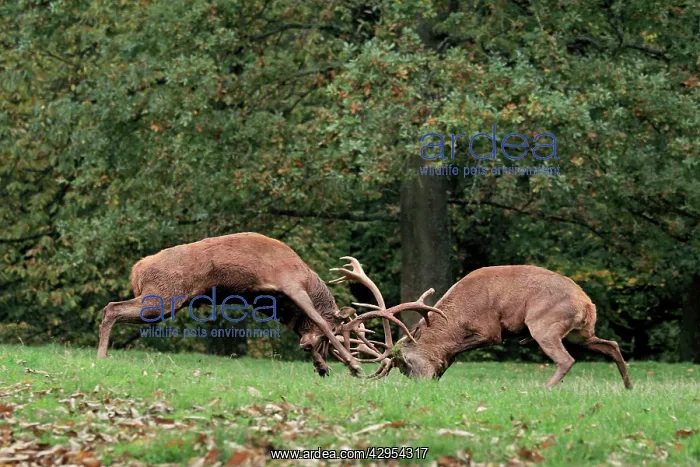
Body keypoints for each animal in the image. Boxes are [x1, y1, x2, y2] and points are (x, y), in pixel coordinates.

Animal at [96, 232, 442, 378]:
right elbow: (318, 318)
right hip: (162, 298)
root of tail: (137, 269)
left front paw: (323, 366)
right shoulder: (289, 283)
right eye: (344, 332)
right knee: (111, 307)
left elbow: (305, 327)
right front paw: (353, 364)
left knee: (111, 307)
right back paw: (100, 356)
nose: (312, 349)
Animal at [329, 261, 632, 389]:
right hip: (582, 333)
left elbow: (457, 351)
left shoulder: (490, 330)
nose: (420, 385)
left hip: (543, 323)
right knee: (611, 344)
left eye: (406, 363)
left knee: (566, 359)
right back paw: (628, 385)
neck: (457, 319)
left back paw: (544, 387)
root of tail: (587, 303)